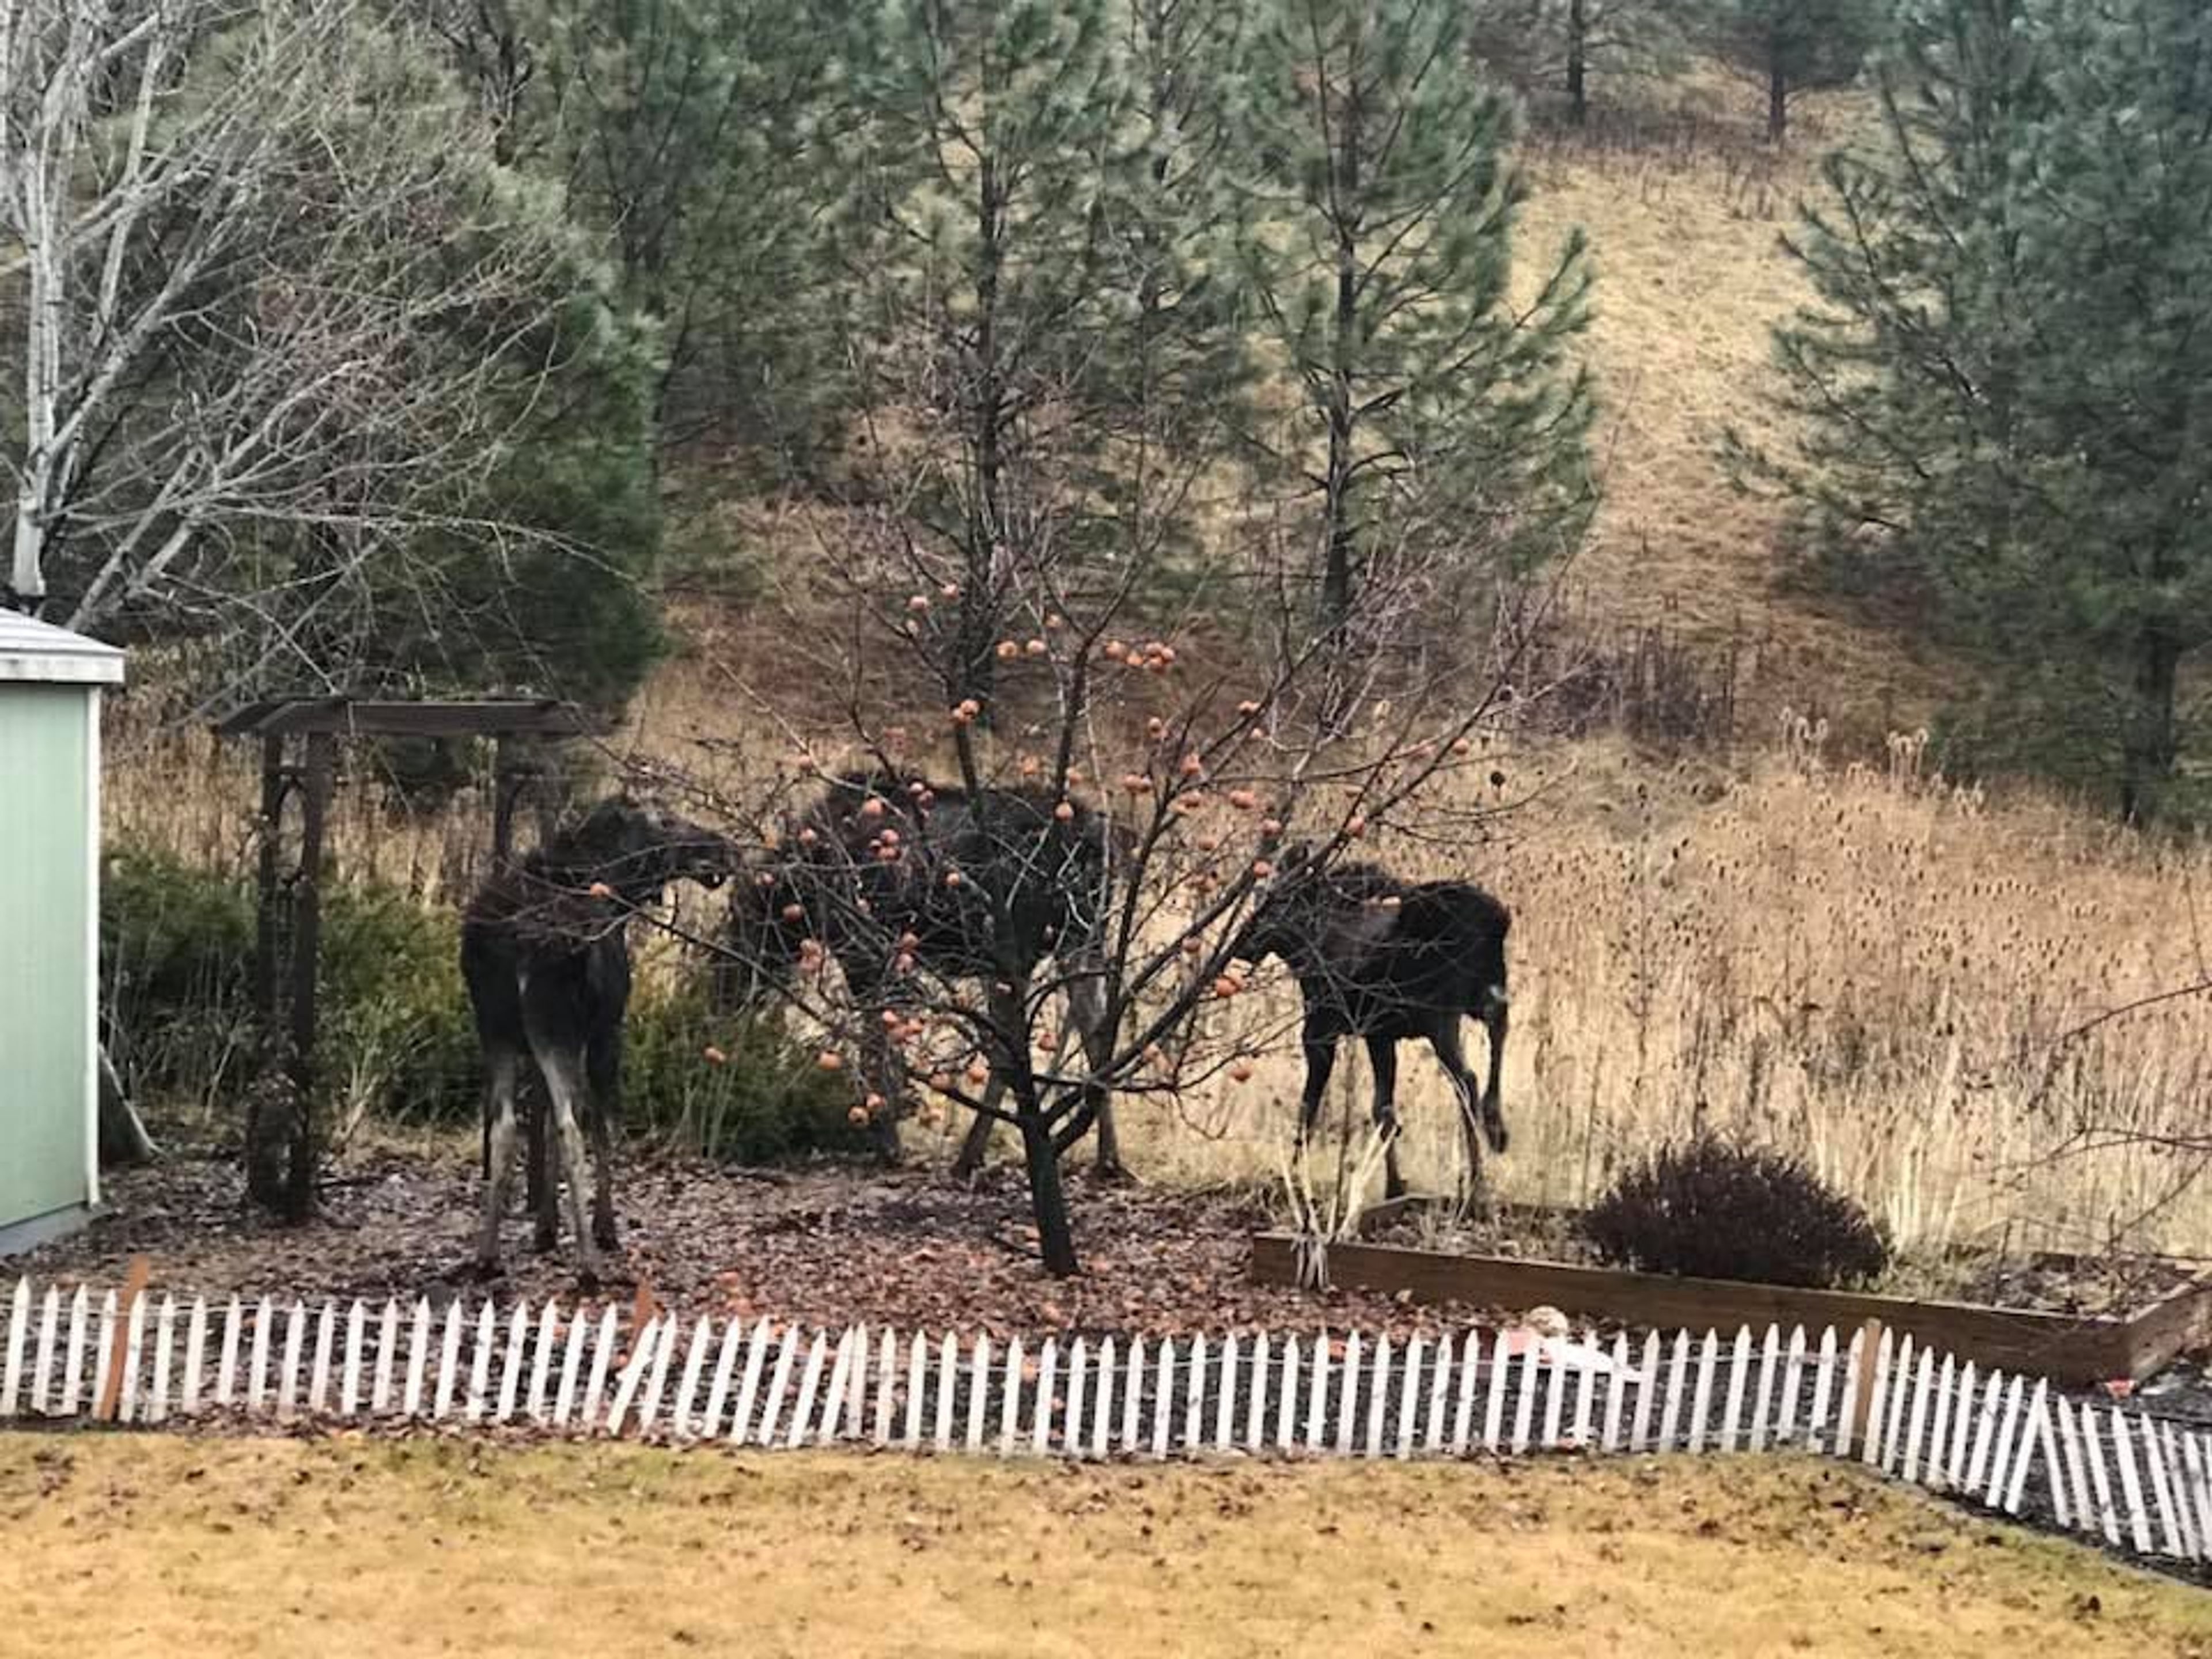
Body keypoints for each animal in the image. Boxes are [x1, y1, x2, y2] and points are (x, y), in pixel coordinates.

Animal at [457, 801, 734, 1283]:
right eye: (666, 821)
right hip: (556, 1028)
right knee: (573, 1125)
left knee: (505, 1125)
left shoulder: (534, 1042)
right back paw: (589, 1264)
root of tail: (517, 938)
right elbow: (603, 1126)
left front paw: (546, 1228)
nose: (719, 847)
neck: (612, 881)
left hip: (497, 1029)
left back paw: (487, 1254)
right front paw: (605, 1228)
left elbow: (543, 1117)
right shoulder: (607, 1029)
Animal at [721, 778, 1123, 1185]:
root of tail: (1099, 842)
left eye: (741, 921)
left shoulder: (869, 957)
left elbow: (874, 1049)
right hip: (1078, 939)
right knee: (1094, 1038)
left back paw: (969, 1157)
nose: (724, 993)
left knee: (1016, 1050)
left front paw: (887, 1142)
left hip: (1017, 948)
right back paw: (1107, 1160)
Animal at [1221, 849, 1513, 1203]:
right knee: (1498, 1030)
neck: (1305, 947)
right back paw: (1495, 1127)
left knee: (1466, 1079)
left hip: (1440, 1015)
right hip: (1486, 993)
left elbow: (1309, 1107)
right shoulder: (1381, 1035)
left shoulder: (1321, 1030)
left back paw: (1476, 1180)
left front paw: (1294, 1175)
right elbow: (1383, 1109)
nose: (1243, 946)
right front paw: (1394, 1184)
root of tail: (1497, 920)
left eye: (1277, 902)